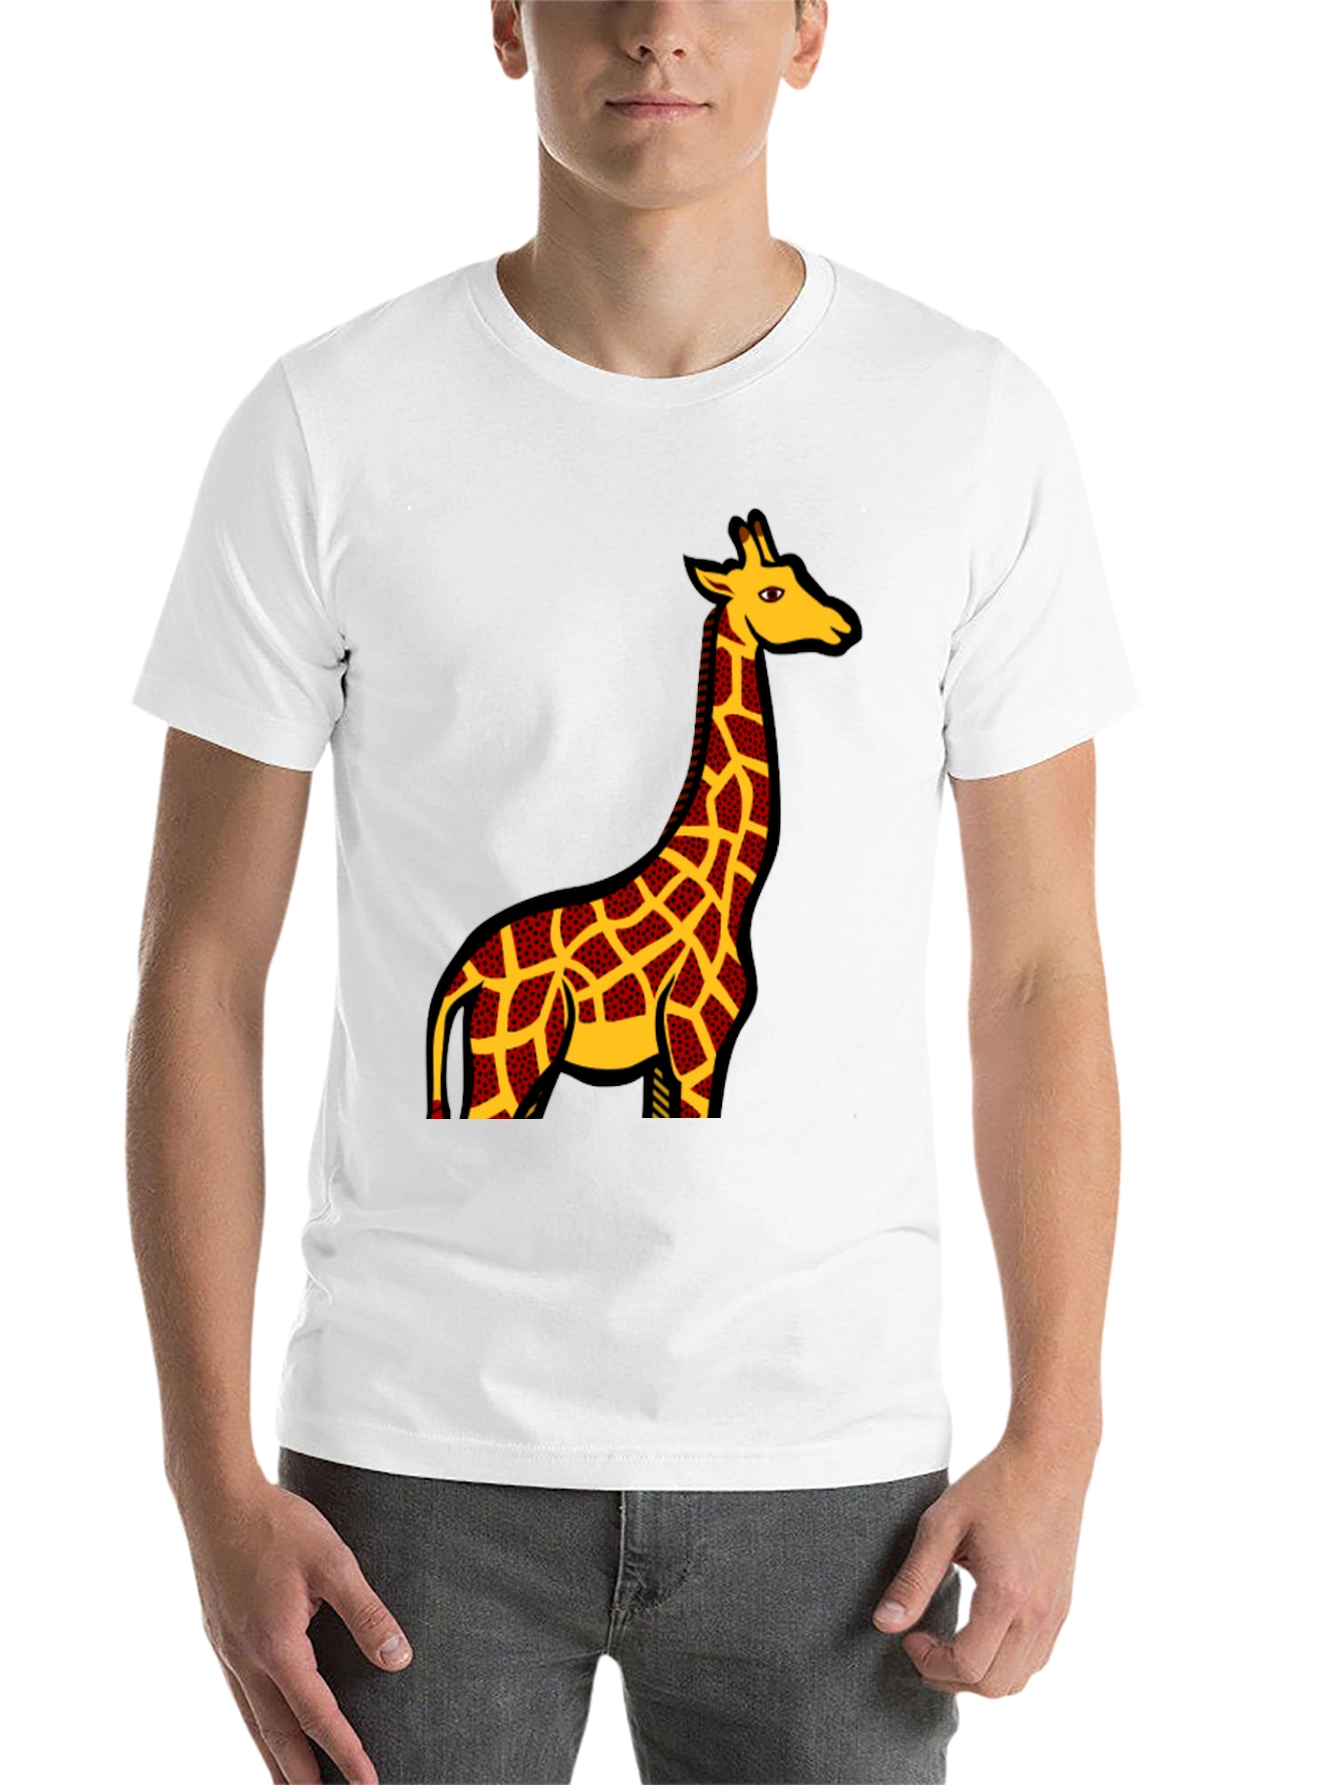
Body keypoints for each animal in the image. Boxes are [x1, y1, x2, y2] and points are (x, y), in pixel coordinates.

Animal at [424, 508, 862, 1120]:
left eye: (800, 572)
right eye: (772, 592)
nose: (844, 625)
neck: (731, 894)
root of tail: (463, 974)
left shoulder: (662, 1063)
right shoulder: (699, 1041)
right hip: (513, 1056)